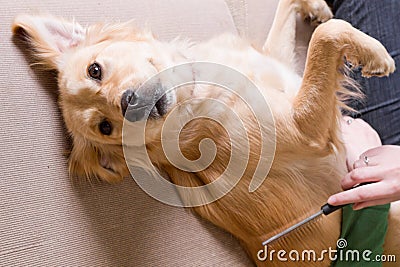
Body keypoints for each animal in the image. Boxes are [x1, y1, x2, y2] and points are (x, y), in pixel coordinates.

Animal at [11, 0, 400, 266]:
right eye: (104, 127)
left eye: (95, 70)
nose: (128, 103)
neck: (198, 91)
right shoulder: (304, 128)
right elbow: (327, 35)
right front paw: (376, 55)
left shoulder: (279, 64)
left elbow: (303, 18)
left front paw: (316, 7)